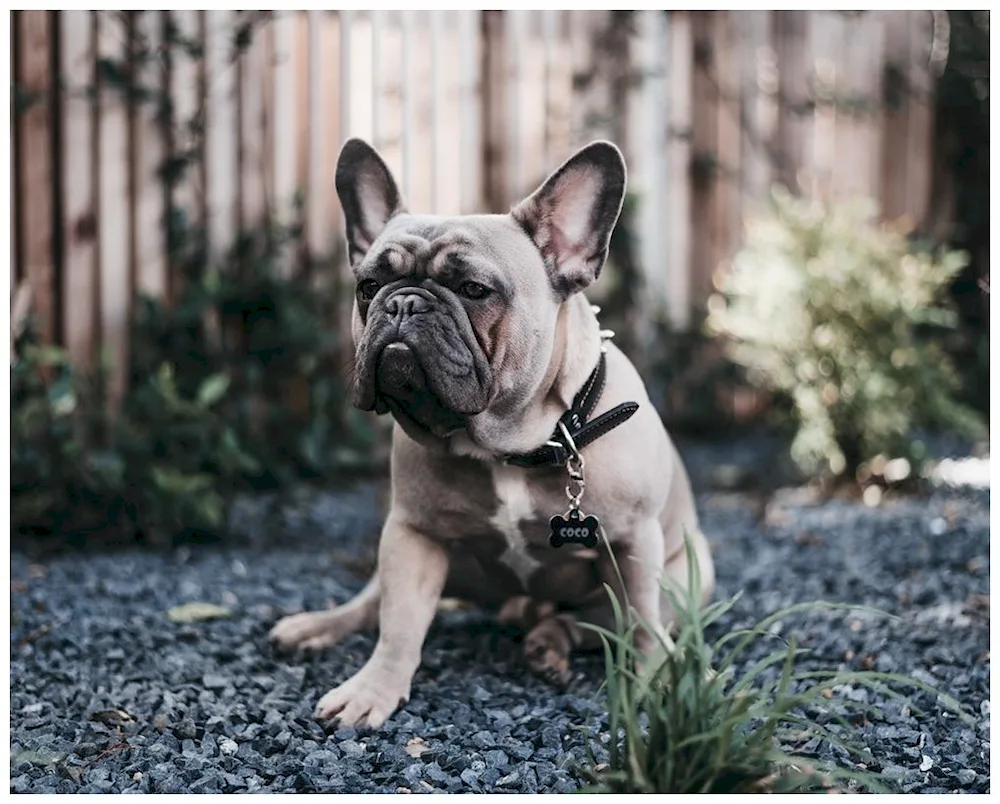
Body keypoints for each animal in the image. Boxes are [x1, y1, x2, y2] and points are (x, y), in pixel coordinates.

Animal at [270, 137, 716, 728]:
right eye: (368, 287)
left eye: (474, 289)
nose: (403, 302)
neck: (509, 447)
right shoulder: (413, 535)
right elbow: (399, 625)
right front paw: (374, 689)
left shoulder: (633, 541)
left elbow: (640, 621)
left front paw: (656, 682)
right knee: (370, 604)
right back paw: (315, 626)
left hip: (688, 576)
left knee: (598, 621)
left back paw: (551, 644)